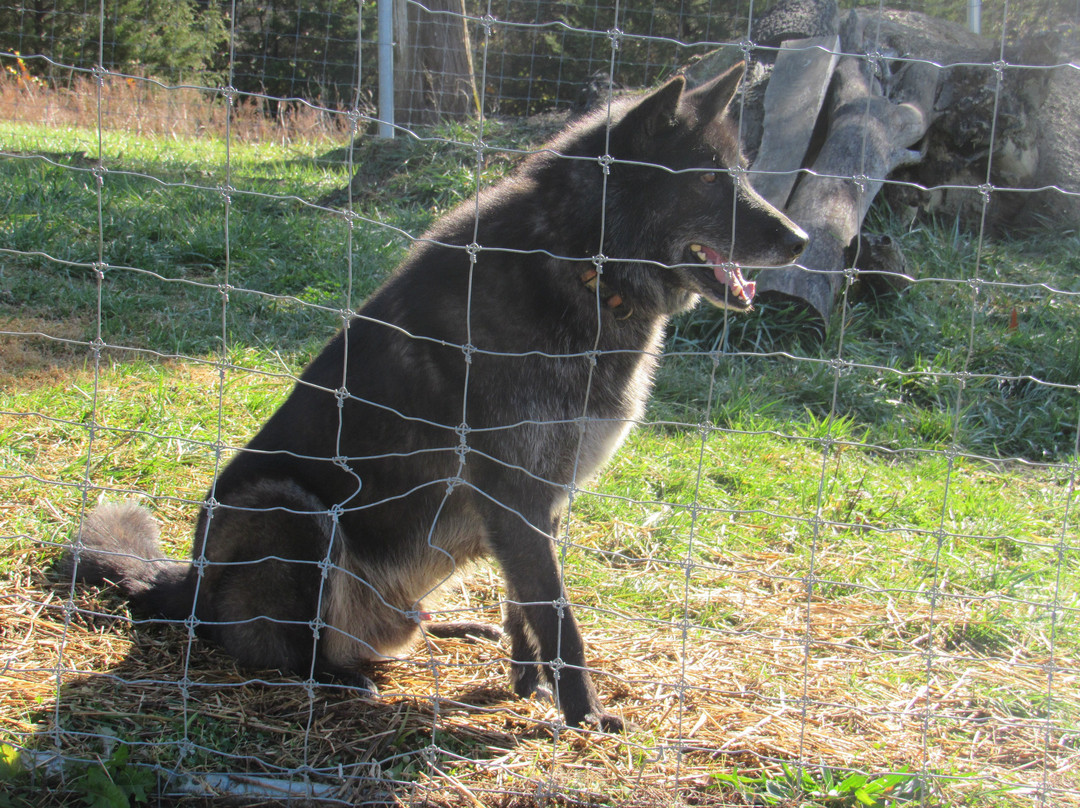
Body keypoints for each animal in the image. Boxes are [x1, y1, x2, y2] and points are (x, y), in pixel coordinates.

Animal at [66, 63, 807, 732]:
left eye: (741, 171)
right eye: (708, 176)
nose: (801, 241)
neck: (583, 267)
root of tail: (183, 582)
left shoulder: (539, 500)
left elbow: (526, 598)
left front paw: (526, 682)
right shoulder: (514, 490)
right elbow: (558, 613)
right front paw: (583, 714)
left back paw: (451, 630)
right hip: (286, 508)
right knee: (278, 649)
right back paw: (337, 681)